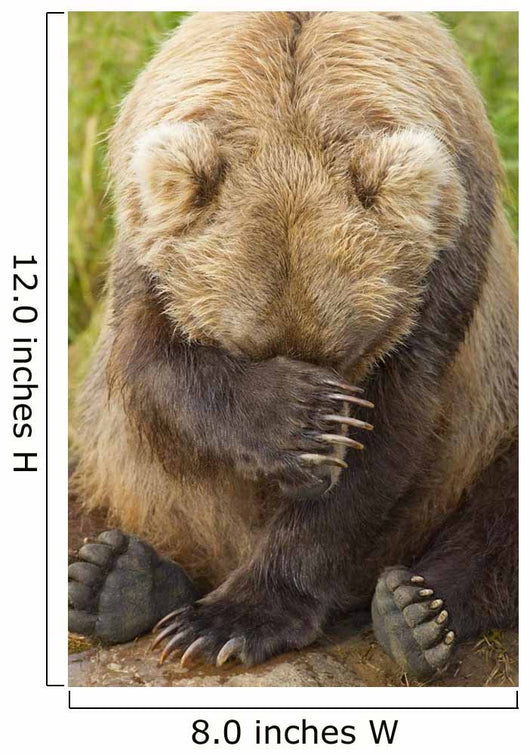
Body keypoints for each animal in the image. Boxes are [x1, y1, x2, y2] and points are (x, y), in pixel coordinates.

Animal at [68, 11, 518, 680]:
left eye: (348, 353)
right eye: (245, 348)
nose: (307, 480)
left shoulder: (448, 259)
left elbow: (395, 431)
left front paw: (229, 621)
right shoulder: (145, 247)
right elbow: (151, 371)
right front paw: (299, 421)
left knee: (497, 510)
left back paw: (415, 613)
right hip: (114, 476)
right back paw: (112, 579)